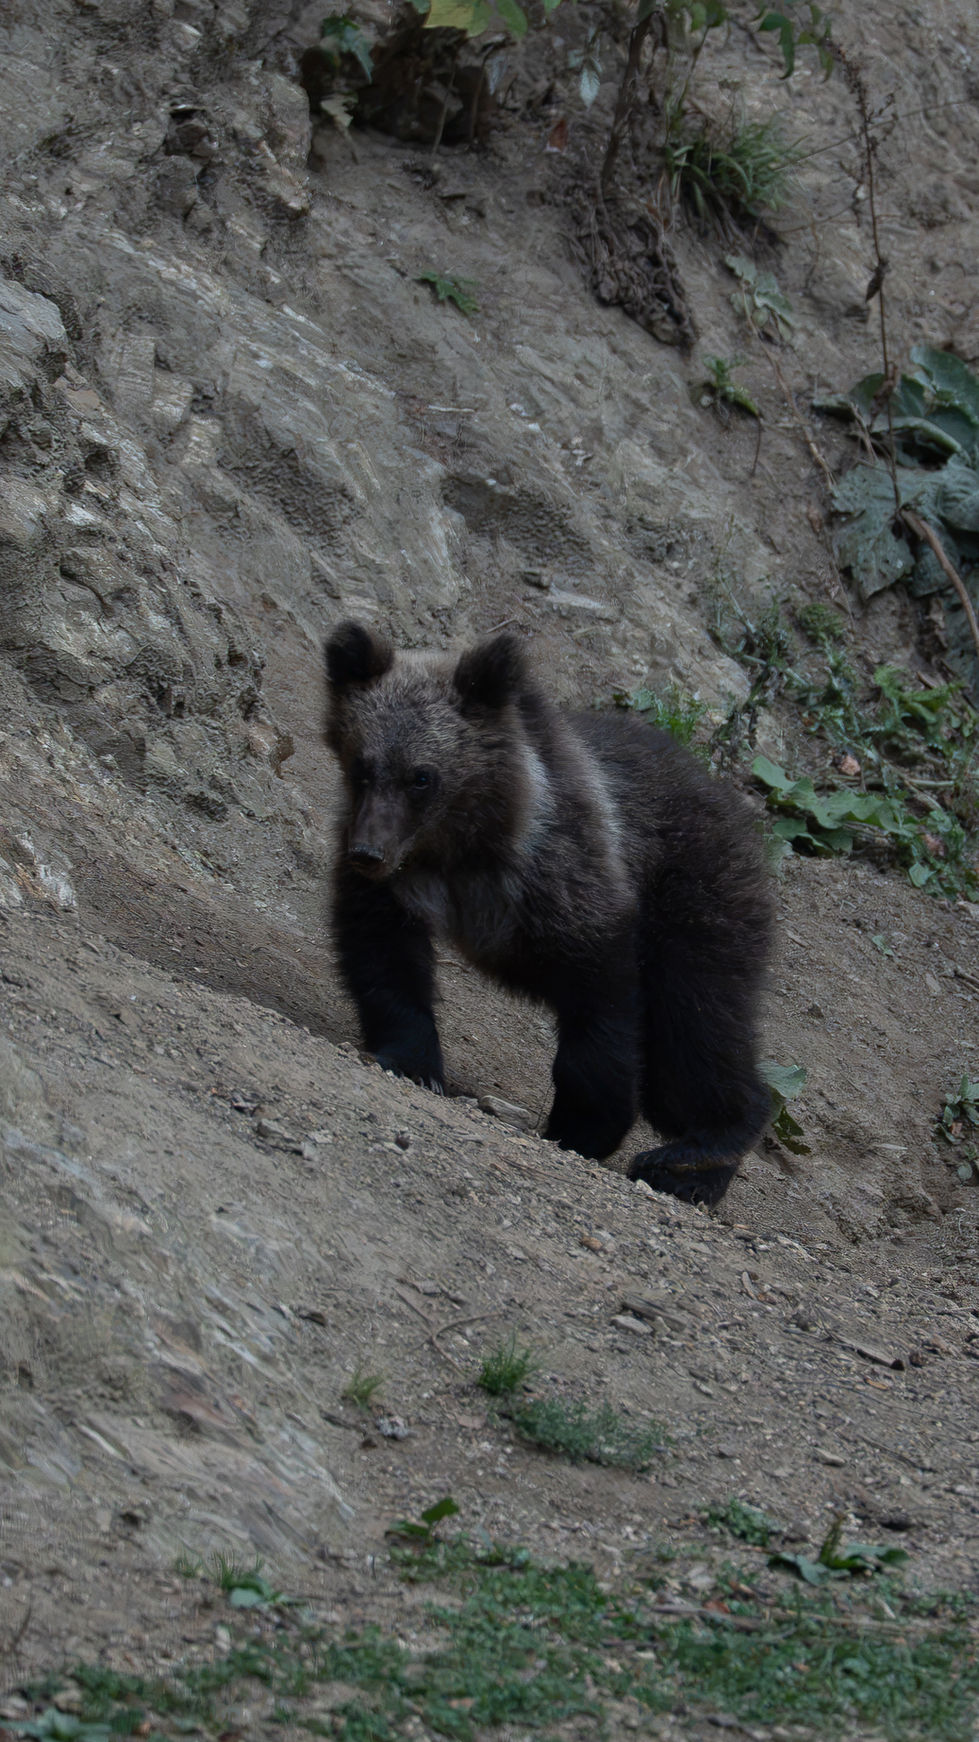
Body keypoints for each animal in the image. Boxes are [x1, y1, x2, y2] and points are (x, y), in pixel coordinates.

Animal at [323, 620, 773, 1206]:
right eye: (362, 766)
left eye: (421, 776)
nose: (369, 853)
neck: (463, 847)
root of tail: (734, 806)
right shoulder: (395, 887)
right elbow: (384, 962)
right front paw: (409, 1060)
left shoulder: (571, 881)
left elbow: (600, 1014)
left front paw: (585, 1125)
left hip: (695, 901)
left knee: (696, 1031)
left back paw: (691, 1159)